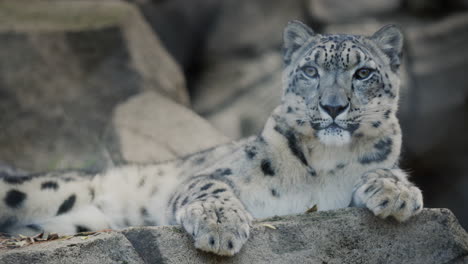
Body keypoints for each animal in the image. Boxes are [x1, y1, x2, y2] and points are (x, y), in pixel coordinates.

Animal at [0, 20, 424, 256]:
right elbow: (208, 186)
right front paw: (220, 225)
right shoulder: (211, 175)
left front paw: (396, 193)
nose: (332, 106)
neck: (325, 162)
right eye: (310, 70)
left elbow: (387, 171)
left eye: (363, 73)